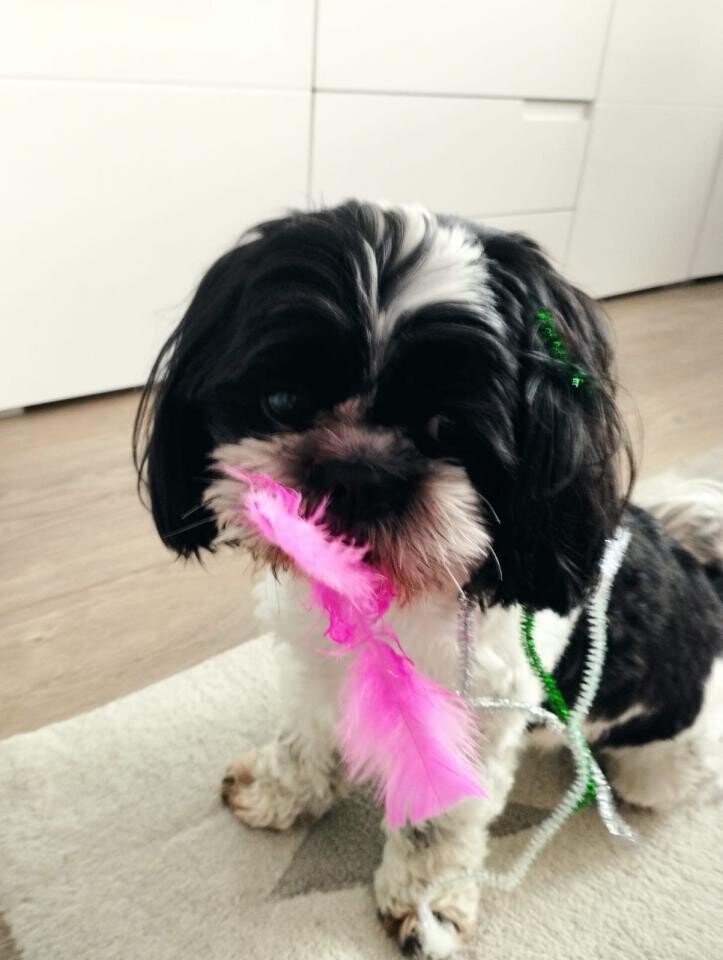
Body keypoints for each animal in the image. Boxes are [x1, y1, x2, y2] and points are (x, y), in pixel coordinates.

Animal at [134, 201, 723, 959]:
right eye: (283, 400)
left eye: (451, 429)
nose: (357, 471)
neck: (393, 593)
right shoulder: (315, 665)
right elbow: (303, 737)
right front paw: (279, 792)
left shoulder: (470, 717)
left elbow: (434, 827)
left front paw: (425, 906)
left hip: (663, 758)